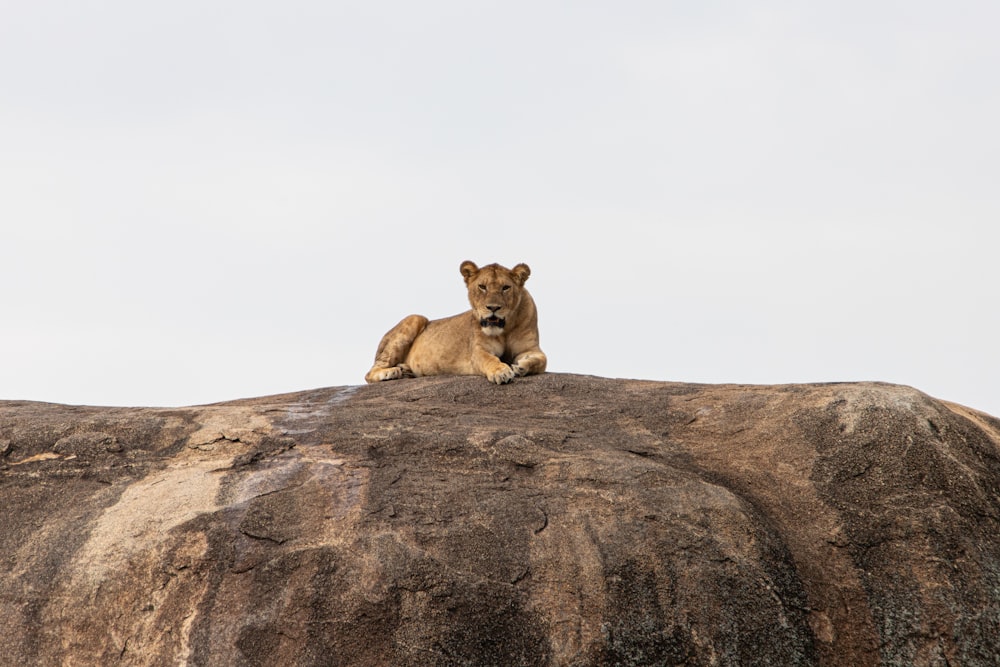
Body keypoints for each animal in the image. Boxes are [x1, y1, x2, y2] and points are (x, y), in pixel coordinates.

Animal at [364, 260, 548, 386]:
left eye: (505, 287)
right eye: (482, 287)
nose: (493, 308)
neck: (505, 329)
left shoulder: (530, 348)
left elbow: (542, 360)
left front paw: (522, 366)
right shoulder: (478, 351)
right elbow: (489, 359)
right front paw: (501, 372)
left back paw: (406, 370)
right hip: (415, 317)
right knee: (370, 372)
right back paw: (392, 372)